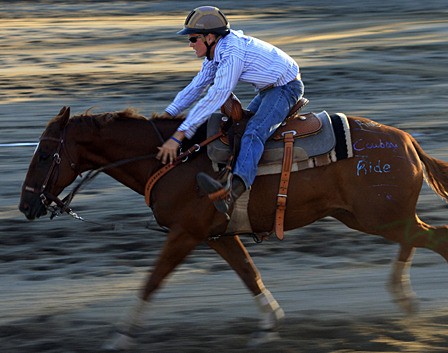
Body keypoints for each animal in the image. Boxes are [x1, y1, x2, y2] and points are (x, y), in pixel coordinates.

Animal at [19, 106, 448, 348]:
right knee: (420, 238)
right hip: (368, 217)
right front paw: (269, 323)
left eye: (44, 155)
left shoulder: (186, 234)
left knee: (434, 238)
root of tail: (408, 141)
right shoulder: (215, 236)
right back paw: (404, 297)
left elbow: (152, 280)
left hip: (380, 217)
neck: (175, 161)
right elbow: (248, 272)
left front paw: (121, 333)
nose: (25, 206)